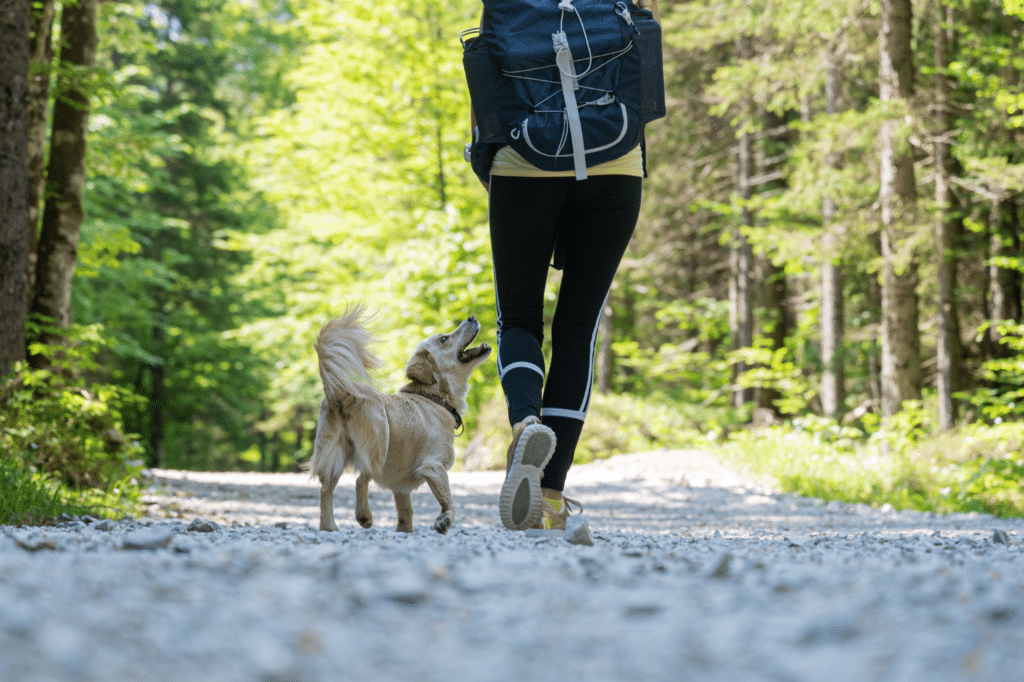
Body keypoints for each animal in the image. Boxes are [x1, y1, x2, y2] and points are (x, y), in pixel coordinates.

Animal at [307, 303, 491, 532]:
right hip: (378, 442)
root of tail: (340, 392)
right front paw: (444, 520)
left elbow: (406, 512)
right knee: (361, 478)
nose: (471, 317)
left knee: (326, 490)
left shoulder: (401, 488)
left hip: (332, 453)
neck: (434, 398)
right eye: (444, 339)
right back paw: (364, 516)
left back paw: (329, 526)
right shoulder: (434, 466)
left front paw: (405, 531)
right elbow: (449, 499)